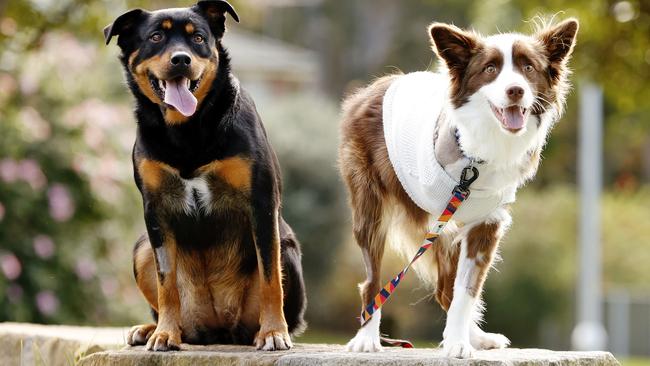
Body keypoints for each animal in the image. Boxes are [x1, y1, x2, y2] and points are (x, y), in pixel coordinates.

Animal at [102, 1, 306, 354]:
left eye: (197, 37)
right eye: (155, 37)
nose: (181, 59)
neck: (187, 129)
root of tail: (219, 329)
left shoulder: (262, 203)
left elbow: (270, 277)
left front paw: (273, 332)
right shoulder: (155, 211)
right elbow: (166, 282)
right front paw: (165, 334)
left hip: (288, 248)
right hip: (142, 248)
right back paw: (152, 328)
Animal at [336, 19, 576, 358]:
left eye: (528, 67)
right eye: (490, 69)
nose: (515, 90)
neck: (476, 155)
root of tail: (374, 87)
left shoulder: (485, 224)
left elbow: (466, 291)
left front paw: (460, 342)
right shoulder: (441, 222)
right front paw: (455, 341)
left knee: (444, 291)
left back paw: (476, 336)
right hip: (371, 210)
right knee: (373, 280)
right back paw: (367, 337)